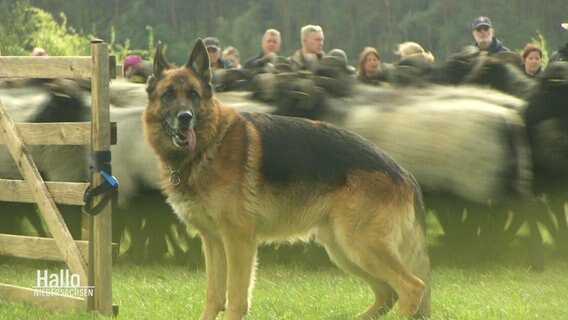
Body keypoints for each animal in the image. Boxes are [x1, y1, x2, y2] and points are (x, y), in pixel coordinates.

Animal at [142, 40, 430, 320]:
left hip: (360, 245)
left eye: (193, 94)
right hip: (343, 248)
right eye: (168, 95)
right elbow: (214, 295)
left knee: (412, 287)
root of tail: (405, 174)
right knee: (388, 292)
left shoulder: (238, 239)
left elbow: (235, 296)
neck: (210, 144)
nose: (185, 118)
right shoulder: (213, 241)